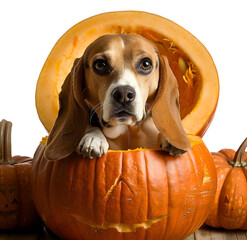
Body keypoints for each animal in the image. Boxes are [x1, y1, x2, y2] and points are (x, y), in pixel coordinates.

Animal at [44, 33, 191, 160]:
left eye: (146, 64)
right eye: (100, 64)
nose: (124, 94)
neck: (126, 130)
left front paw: (170, 139)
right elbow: (91, 128)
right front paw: (93, 138)